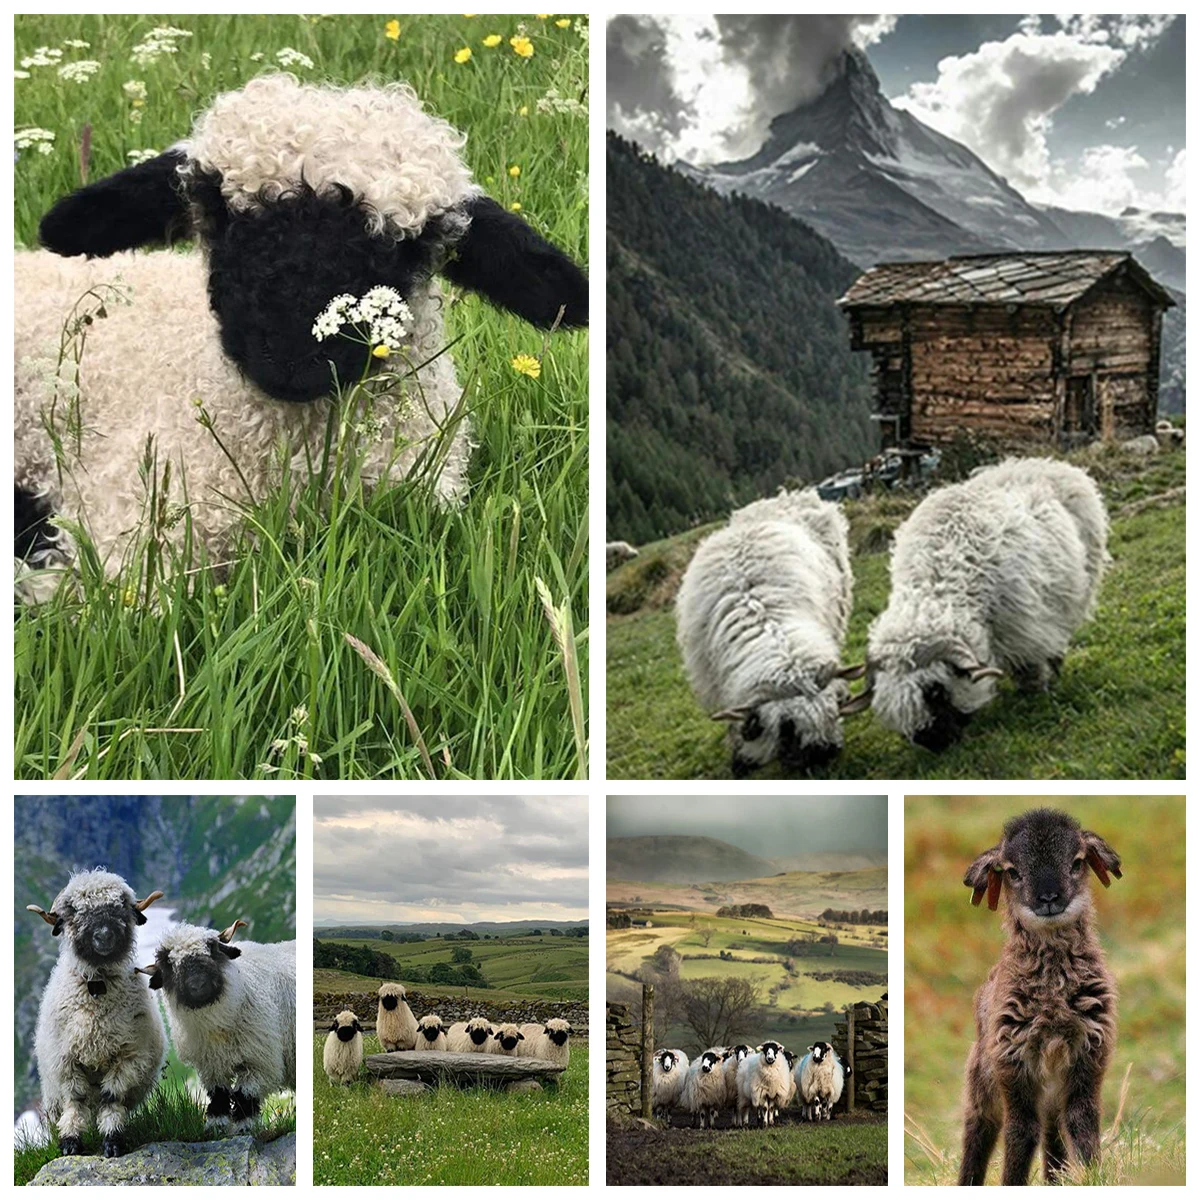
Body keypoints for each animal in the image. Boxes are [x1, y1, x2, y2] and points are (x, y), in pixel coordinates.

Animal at [26, 870, 167, 1157]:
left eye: (121, 907)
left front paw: (112, 1140)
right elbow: (75, 1100)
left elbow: (111, 1098)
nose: (104, 935)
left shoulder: (128, 1057)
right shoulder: (65, 1061)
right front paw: (70, 1141)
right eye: (74, 911)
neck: (96, 988)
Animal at [138, 923, 296, 1131]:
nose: (198, 985)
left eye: (212, 949)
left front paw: (244, 1126)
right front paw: (216, 1126)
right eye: (169, 964)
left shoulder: (261, 1060)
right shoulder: (210, 1064)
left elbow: (245, 1095)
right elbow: (218, 1094)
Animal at [853, 458, 1108, 751]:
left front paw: (1034, 693)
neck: (940, 582)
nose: (934, 743)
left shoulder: (1022, 627)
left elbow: (1029, 664)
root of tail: (1047, 462)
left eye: (935, 691)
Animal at [959, 807, 1121, 1185]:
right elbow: (1020, 1131)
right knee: (979, 1130)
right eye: (1012, 872)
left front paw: (1094, 1175)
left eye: (1076, 862)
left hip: (1050, 1095)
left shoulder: (1089, 1053)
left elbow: (1082, 1121)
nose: (1048, 899)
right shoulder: (1012, 1062)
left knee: (1054, 1136)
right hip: (981, 1079)